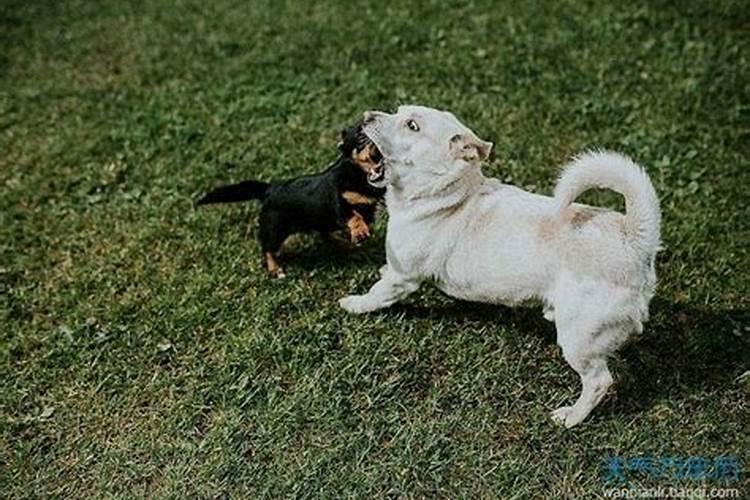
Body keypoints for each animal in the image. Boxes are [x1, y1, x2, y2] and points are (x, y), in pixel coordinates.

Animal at [197, 126, 384, 278]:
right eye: (361, 137)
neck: (360, 173)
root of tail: (269, 188)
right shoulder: (339, 202)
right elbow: (353, 216)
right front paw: (359, 231)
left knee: (325, 235)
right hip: (274, 230)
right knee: (267, 249)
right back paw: (275, 270)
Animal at [340, 104, 664, 426]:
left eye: (412, 126)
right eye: (398, 111)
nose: (366, 116)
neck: (447, 192)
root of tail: (633, 239)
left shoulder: (403, 276)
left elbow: (378, 294)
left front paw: (354, 304)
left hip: (578, 337)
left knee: (599, 380)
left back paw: (571, 417)